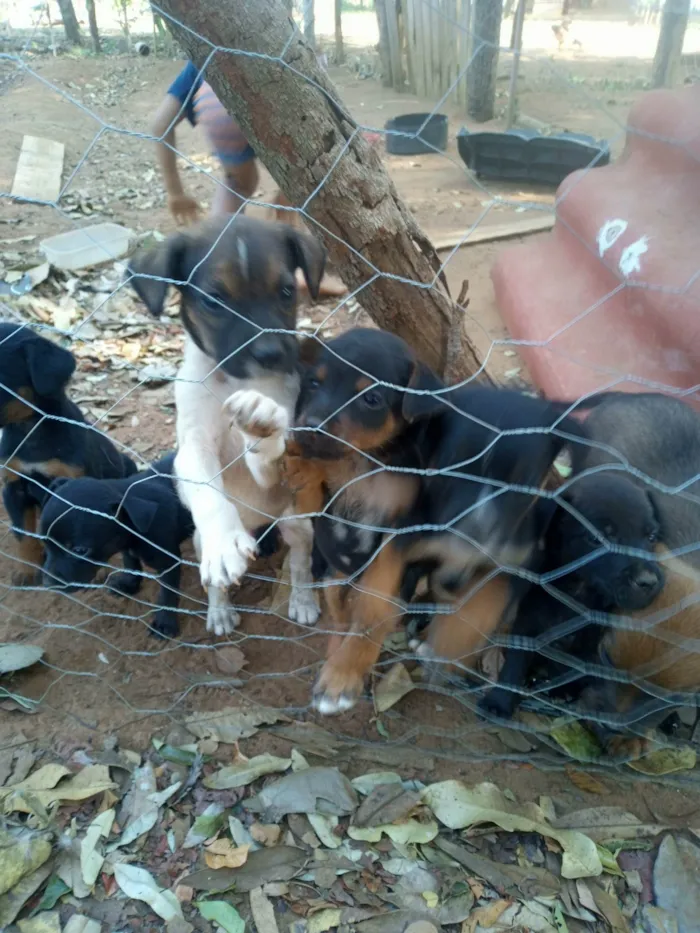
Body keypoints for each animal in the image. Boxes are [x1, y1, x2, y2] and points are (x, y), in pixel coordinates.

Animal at [40, 454, 194, 640]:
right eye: (45, 542)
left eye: (80, 551)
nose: (47, 584)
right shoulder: (124, 545)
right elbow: (131, 564)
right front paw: (128, 584)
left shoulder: (168, 562)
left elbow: (167, 594)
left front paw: (164, 623)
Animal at [130, 215, 326, 632]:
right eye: (214, 300)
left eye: (287, 291)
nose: (270, 354)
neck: (233, 382)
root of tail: (259, 522)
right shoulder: (192, 448)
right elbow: (208, 493)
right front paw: (225, 545)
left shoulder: (279, 466)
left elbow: (267, 451)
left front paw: (260, 423)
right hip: (198, 541)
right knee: (212, 581)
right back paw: (219, 609)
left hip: (298, 524)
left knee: (300, 563)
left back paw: (302, 599)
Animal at [478, 474, 664, 720]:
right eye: (596, 538)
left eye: (651, 536)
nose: (648, 582)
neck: (577, 590)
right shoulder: (529, 622)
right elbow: (515, 663)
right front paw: (499, 701)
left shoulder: (590, 634)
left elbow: (575, 666)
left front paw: (563, 689)